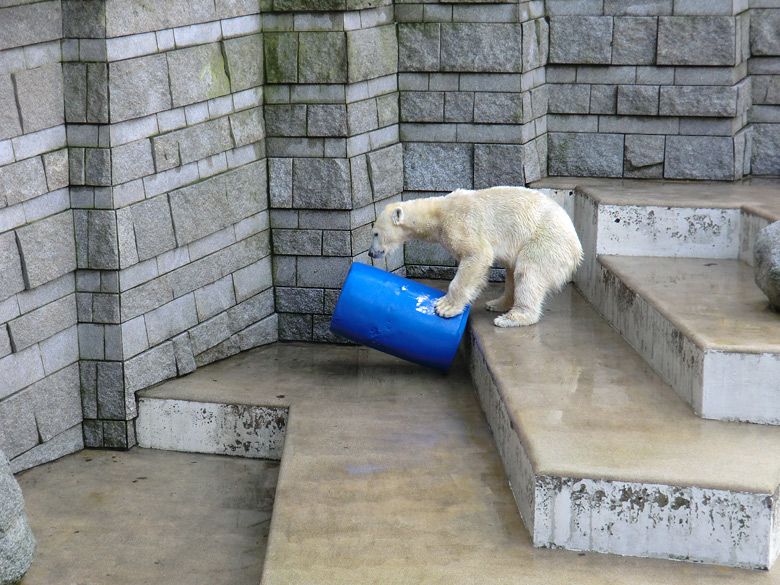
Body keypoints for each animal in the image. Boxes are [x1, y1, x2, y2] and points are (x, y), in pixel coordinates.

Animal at [368, 186, 580, 326]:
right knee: (512, 272)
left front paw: (445, 307)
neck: (438, 213)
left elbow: (476, 254)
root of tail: (577, 249)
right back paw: (497, 303)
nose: (370, 252)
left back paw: (513, 317)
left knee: (528, 272)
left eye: (375, 233)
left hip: (546, 241)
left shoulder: (460, 223)